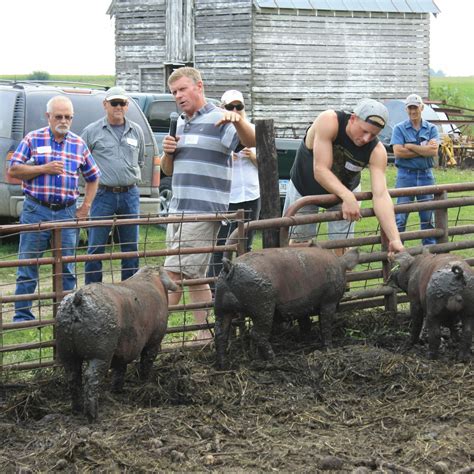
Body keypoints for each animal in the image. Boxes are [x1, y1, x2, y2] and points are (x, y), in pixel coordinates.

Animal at [56, 266, 178, 422]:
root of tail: (78, 299)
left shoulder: (124, 348)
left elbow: (121, 367)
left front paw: (117, 390)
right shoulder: (154, 339)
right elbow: (146, 361)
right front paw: (144, 382)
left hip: (66, 350)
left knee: (73, 376)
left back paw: (76, 410)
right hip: (101, 351)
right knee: (90, 377)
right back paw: (93, 416)